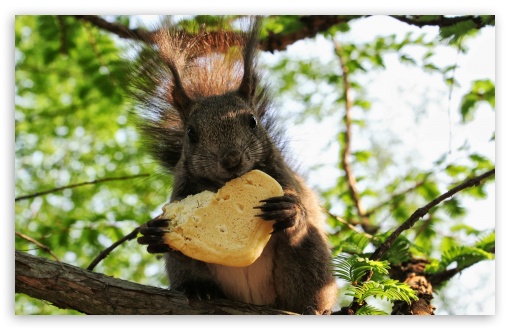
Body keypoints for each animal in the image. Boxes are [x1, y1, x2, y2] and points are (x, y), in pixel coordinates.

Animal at [133, 16, 336, 316]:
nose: (231, 160)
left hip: (309, 259)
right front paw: (154, 233)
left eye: (252, 121)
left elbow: (300, 207)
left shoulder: (284, 178)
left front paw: (289, 209)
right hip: (186, 268)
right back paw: (198, 289)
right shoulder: (181, 190)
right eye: (191, 133)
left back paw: (312, 307)